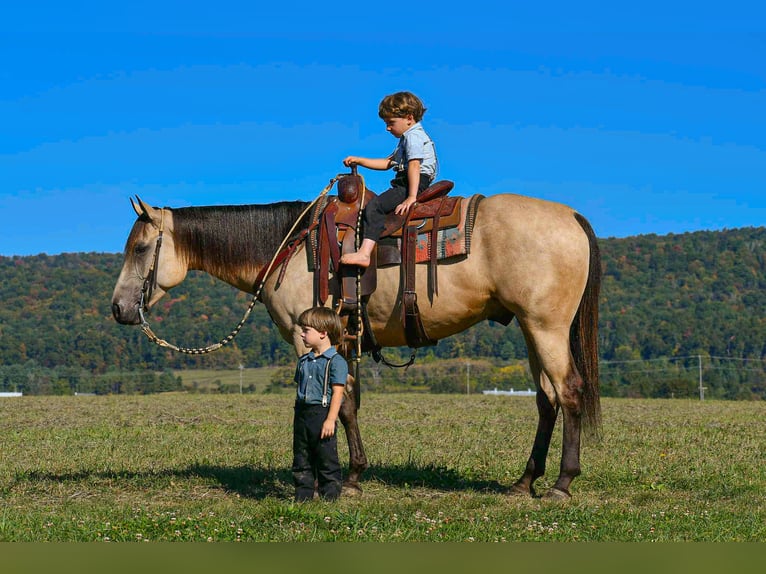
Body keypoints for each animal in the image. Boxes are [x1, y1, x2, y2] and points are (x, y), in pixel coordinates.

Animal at [111, 192, 601, 500]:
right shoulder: (344, 340)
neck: (287, 247)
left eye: (139, 248)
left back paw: (561, 484)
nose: (118, 308)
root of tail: (572, 217)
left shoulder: (306, 336)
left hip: (546, 327)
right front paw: (353, 473)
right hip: (530, 329)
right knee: (546, 400)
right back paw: (524, 482)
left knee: (570, 392)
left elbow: (327, 403)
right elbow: (348, 404)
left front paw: (334, 480)